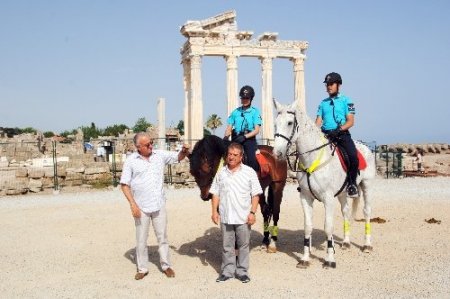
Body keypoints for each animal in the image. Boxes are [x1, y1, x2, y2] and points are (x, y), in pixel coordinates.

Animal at [270, 99, 376, 270]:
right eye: (275, 124)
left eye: (289, 123)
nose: (277, 153)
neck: (312, 159)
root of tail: (365, 147)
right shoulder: (306, 198)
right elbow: (308, 226)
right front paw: (305, 258)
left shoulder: (328, 199)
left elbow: (328, 227)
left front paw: (330, 259)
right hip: (343, 193)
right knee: (346, 212)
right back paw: (346, 242)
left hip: (367, 187)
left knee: (367, 212)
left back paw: (367, 245)